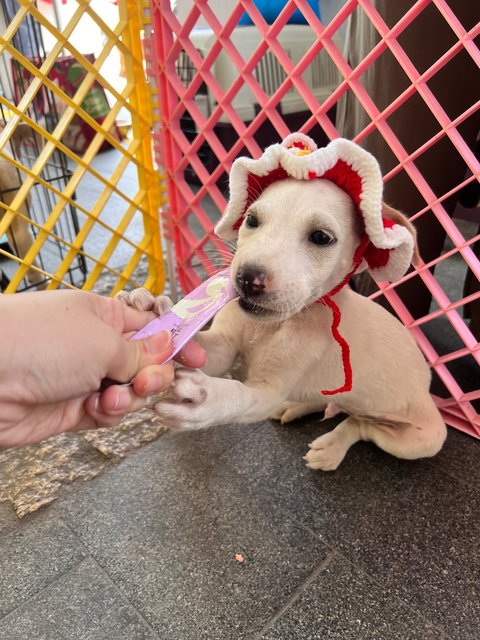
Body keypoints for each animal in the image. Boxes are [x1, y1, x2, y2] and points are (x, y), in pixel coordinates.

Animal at [119, 135, 446, 470]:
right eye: (251, 220)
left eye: (321, 237)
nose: (247, 279)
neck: (271, 325)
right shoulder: (224, 346)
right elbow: (199, 349)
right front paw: (148, 305)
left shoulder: (268, 392)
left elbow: (239, 397)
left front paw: (206, 397)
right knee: (333, 404)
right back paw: (297, 407)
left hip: (420, 439)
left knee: (360, 425)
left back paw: (331, 446)